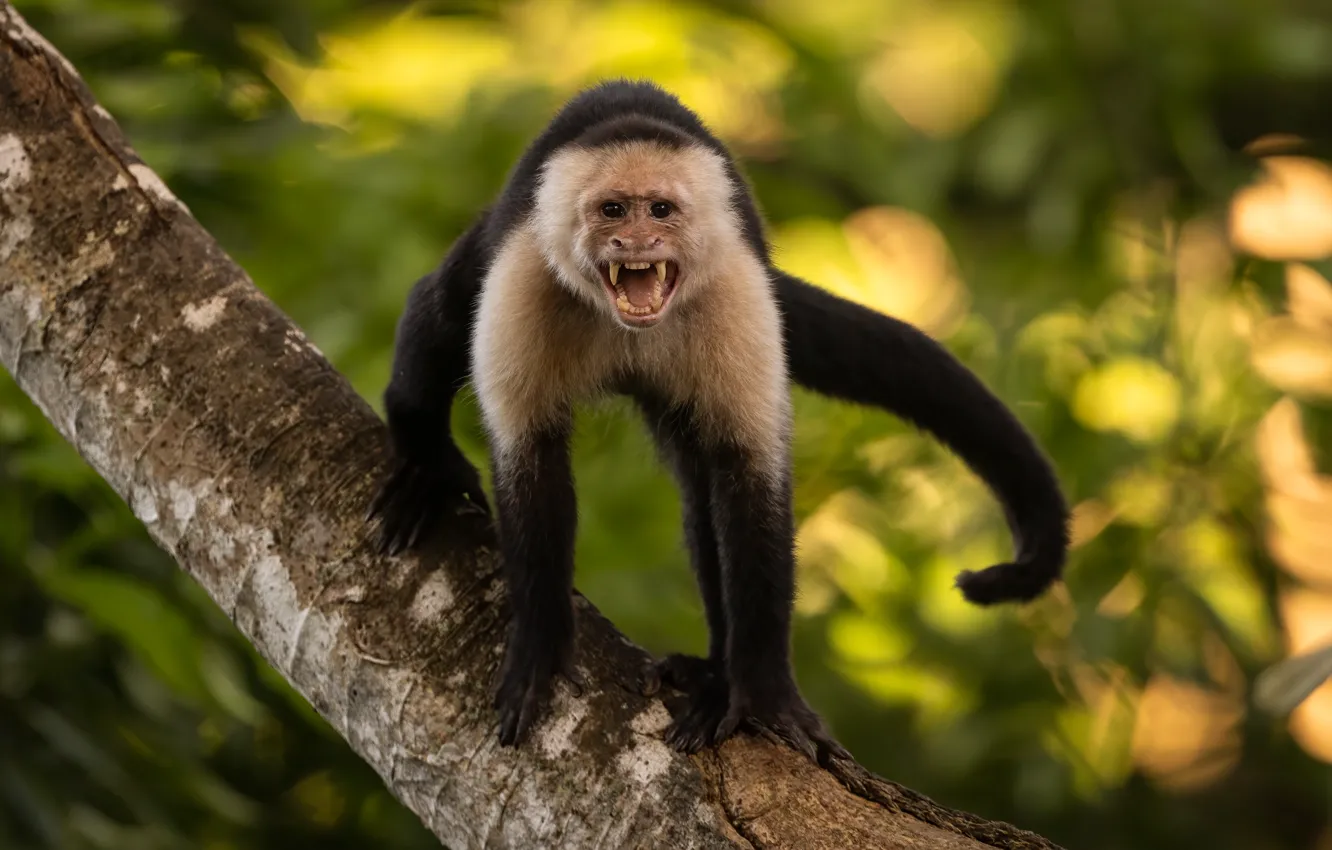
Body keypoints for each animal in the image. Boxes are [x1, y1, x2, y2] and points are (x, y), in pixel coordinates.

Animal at [367, 79, 1070, 762]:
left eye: (660, 210)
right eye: (612, 210)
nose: (635, 243)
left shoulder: (737, 291)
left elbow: (747, 477)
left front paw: (764, 695)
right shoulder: (523, 276)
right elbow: (529, 459)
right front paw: (540, 646)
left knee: (704, 483)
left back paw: (714, 674)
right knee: (442, 305)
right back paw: (425, 463)